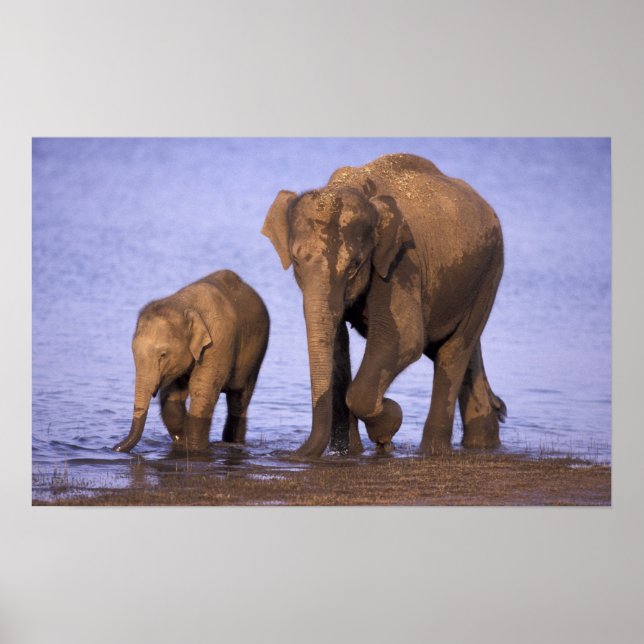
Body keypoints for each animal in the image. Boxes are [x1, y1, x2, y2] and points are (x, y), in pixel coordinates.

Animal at [113, 270, 269, 453]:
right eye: (133, 352)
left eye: (163, 355)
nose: (115, 448)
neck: (184, 304)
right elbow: (173, 395)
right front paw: (182, 441)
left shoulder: (218, 343)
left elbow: (202, 389)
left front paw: (195, 449)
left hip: (256, 355)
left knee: (239, 401)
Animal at [262, 153, 506, 458]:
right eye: (295, 261)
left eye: (355, 265)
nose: (287, 455)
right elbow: (338, 346)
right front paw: (349, 452)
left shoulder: (401, 260)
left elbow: (405, 338)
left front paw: (388, 424)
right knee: (463, 348)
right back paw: (483, 443)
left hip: (491, 271)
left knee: (454, 350)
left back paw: (433, 451)